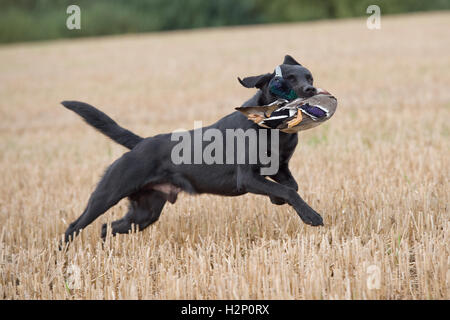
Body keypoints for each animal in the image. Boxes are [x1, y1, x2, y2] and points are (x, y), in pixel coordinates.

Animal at [62, 54, 324, 242]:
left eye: (309, 78)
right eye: (288, 79)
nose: (310, 90)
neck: (272, 128)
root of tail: (141, 143)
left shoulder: (280, 167)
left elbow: (291, 187)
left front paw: (277, 200)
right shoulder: (247, 178)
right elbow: (288, 191)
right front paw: (311, 216)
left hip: (145, 212)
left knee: (108, 227)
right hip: (106, 194)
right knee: (74, 227)